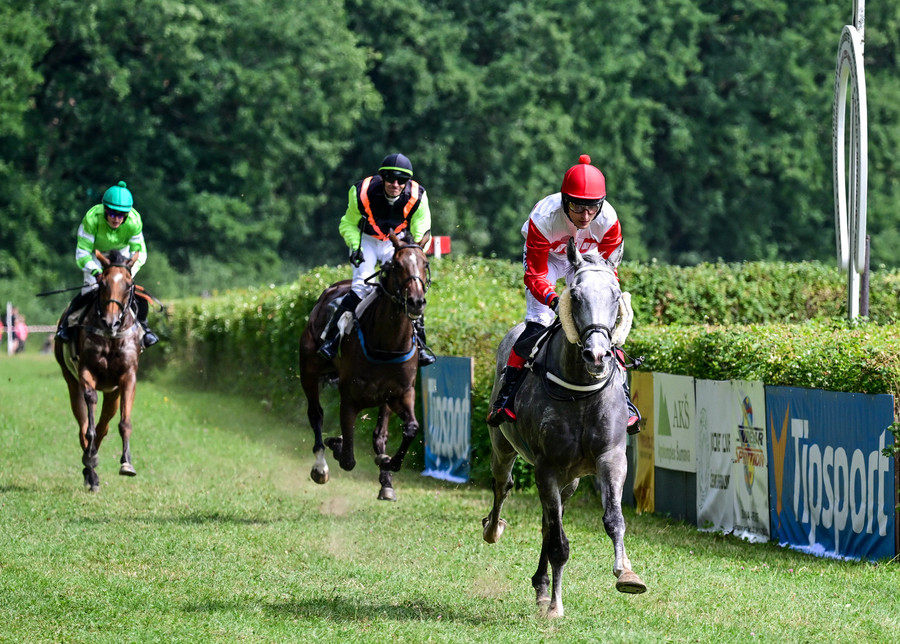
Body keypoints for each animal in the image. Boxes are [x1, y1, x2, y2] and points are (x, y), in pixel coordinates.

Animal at [55, 250, 145, 492]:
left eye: (128, 284)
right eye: (102, 282)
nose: (110, 322)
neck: (111, 337)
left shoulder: (128, 377)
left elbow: (124, 423)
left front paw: (127, 463)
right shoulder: (86, 371)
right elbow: (90, 414)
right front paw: (90, 461)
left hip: (112, 393)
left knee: (104, 426)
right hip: (70, 381)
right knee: (83, 427)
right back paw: (91, 472)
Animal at [298, 230, 432, 501]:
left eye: (425, 264)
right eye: (396, 265)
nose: (416, 302)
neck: (387, 343)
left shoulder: (400, 393)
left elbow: (409, 429)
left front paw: (389, 466)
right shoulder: (349, 398)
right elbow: (348, 457)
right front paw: (336, 444)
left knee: (380, 435)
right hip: (308, 371)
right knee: (316, 414)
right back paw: (320, 465)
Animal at [481, 238, 646, 618]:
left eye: (615, 295)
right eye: (577, 294)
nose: (597, 355)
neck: (580, 392)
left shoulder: (610, 457)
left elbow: (613, 519)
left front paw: (626, 572)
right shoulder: (547, 467)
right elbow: (559, 542)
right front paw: (556, 605)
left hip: (571, 478)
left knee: (547, 520)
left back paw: (541, 586)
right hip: (503, 447)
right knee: (503, 486)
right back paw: (493, 528)